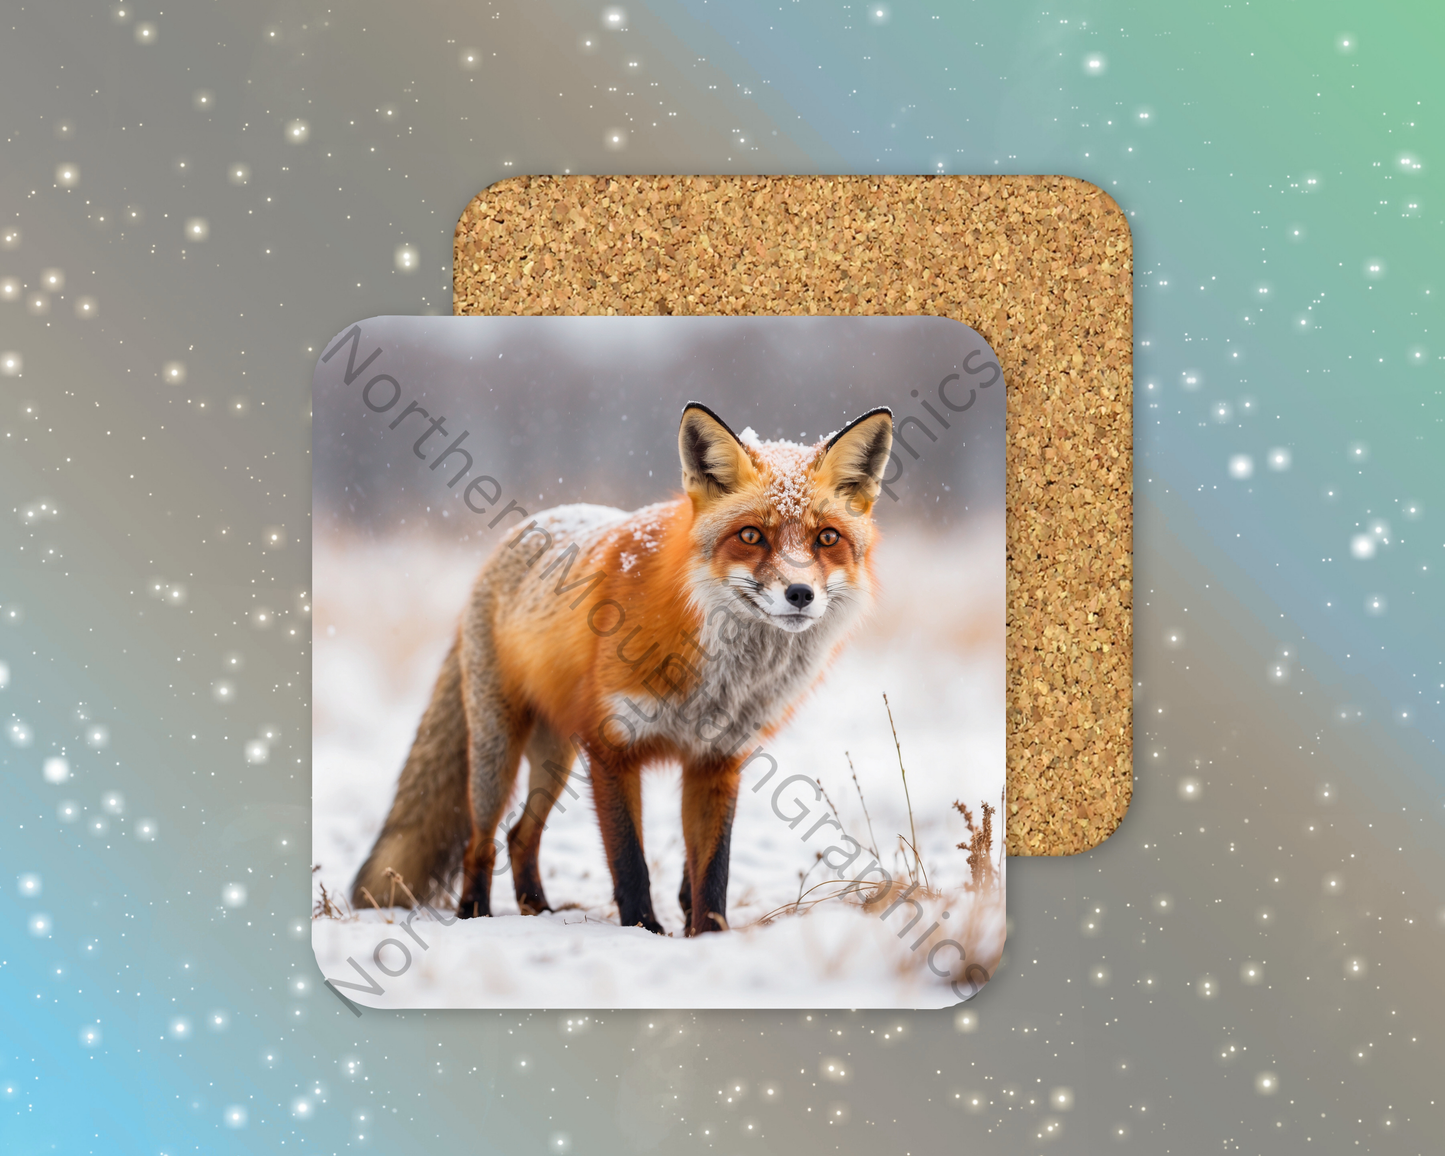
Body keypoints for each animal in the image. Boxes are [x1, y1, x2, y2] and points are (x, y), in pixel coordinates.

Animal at [350, 401, 894, 936]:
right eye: (751, 535)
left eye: (827, 537)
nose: (800, 594)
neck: (721, 677)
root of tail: (514, 536)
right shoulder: (612, 747)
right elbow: (630, 860)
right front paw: (643, 929)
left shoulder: (716, 758)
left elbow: (711, 867)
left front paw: (708, 934)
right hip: (498, 753)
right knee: (481, 842)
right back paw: (475, 915)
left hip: (557, 755)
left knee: (520, 834)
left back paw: (537, 909)